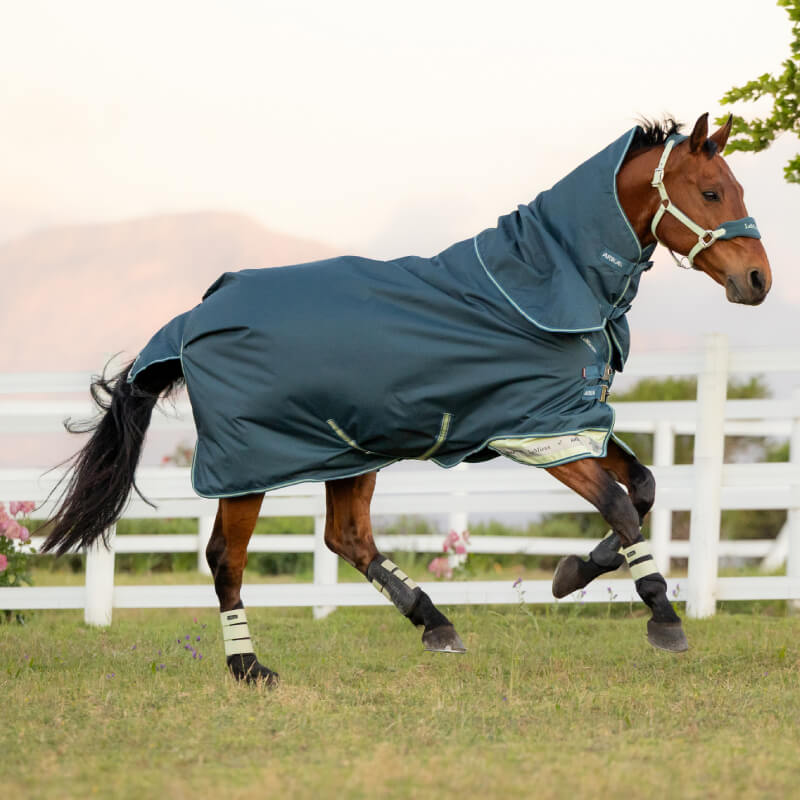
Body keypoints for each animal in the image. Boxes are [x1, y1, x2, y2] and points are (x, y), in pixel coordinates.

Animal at [42, 112, 771, 685]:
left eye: (737, 188)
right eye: (711, 190)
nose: (759, 280)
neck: (551, 280)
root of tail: (196, 316)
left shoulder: (573, 422)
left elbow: (643, 488)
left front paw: (573, 573)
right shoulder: (539, 433)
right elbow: (622, 506)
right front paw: (663, 615)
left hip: (348, 452)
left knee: (348, 537)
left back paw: (435, 624)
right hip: (250, 466)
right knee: (228, 558)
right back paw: (249, 667)